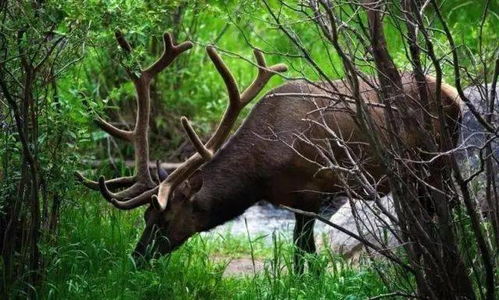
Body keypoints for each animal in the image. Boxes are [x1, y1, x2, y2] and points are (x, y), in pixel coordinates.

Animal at [76, 31, 462, 274]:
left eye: (165, 219)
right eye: (145, 218)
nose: (137, 258)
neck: (261, 175)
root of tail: (451, 91)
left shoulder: (312, 191)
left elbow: (303, 252)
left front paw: (307, 283)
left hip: (437, 162)